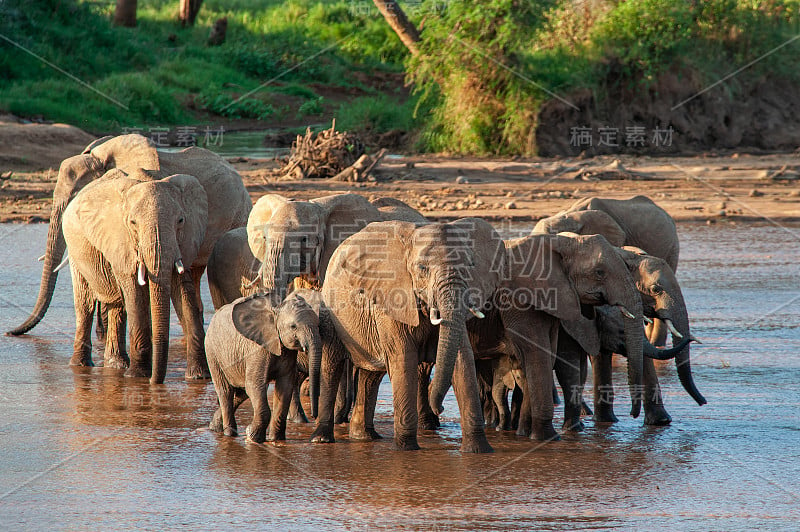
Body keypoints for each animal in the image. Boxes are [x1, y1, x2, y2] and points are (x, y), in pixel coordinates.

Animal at [63, 170, 209, 382]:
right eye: (132, 223)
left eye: (181, 221)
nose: (155, 381)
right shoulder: (121, 243)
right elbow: (134, 292)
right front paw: (138, 377)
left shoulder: (183, 243)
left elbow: (183, 290)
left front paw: (199, 376)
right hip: (75, 250)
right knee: (85, 303)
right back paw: (82, 365)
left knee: (117, 306)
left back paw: (116, 365)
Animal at [206, 290, 324, 440]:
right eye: (293, 327)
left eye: (319, 325)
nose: (314, 416)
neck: (276, 311)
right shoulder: (257, 349)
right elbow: (254, 385)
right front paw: (252, 436)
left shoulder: (286, 351)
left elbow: (285, 386)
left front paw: (275, 439)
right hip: (212, 352)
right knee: (225, 392)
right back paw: (229, 433)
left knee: (242, 392)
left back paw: (214, 426)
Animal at [310, 218, 504, 450]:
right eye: (422, 268)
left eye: (470, 267)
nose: (440, 409)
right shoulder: (390, 299)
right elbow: (404, 359)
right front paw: (407, 449)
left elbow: (462, 359)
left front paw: (479, 450)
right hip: (331, 314)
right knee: (332, 366)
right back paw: (322, 439)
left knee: (370, 376)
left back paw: (365, 437)